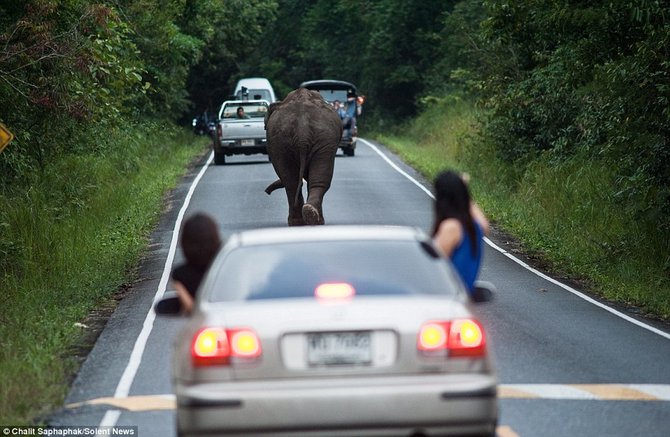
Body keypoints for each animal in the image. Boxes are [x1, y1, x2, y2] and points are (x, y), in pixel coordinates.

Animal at [266, 87, 344, 227]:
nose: (267, 192)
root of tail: (302, 132)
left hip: (294, 141)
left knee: (293, 182)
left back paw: (306, 218)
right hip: (298, 141)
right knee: (301, 182)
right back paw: (308, 219)